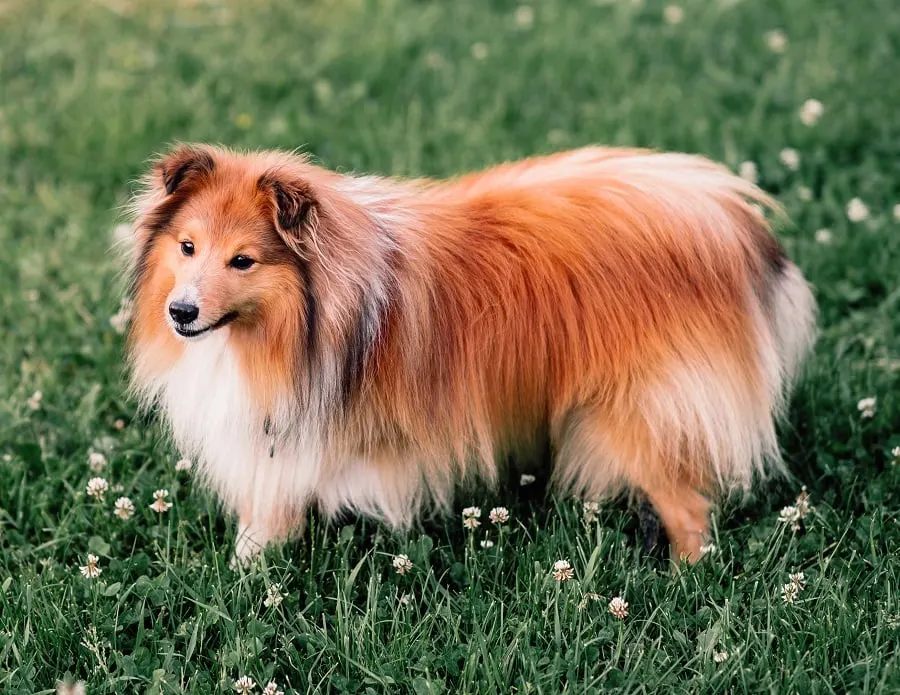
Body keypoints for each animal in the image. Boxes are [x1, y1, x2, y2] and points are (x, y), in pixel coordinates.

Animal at [125, 144, 816, 564]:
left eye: (243, 260)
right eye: (187, 247)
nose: (180, 312)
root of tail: (728, 217)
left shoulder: (290, 434)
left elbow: (267, 508)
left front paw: (247, 572)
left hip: (641, 411)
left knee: (689, 508)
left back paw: (687, 578)